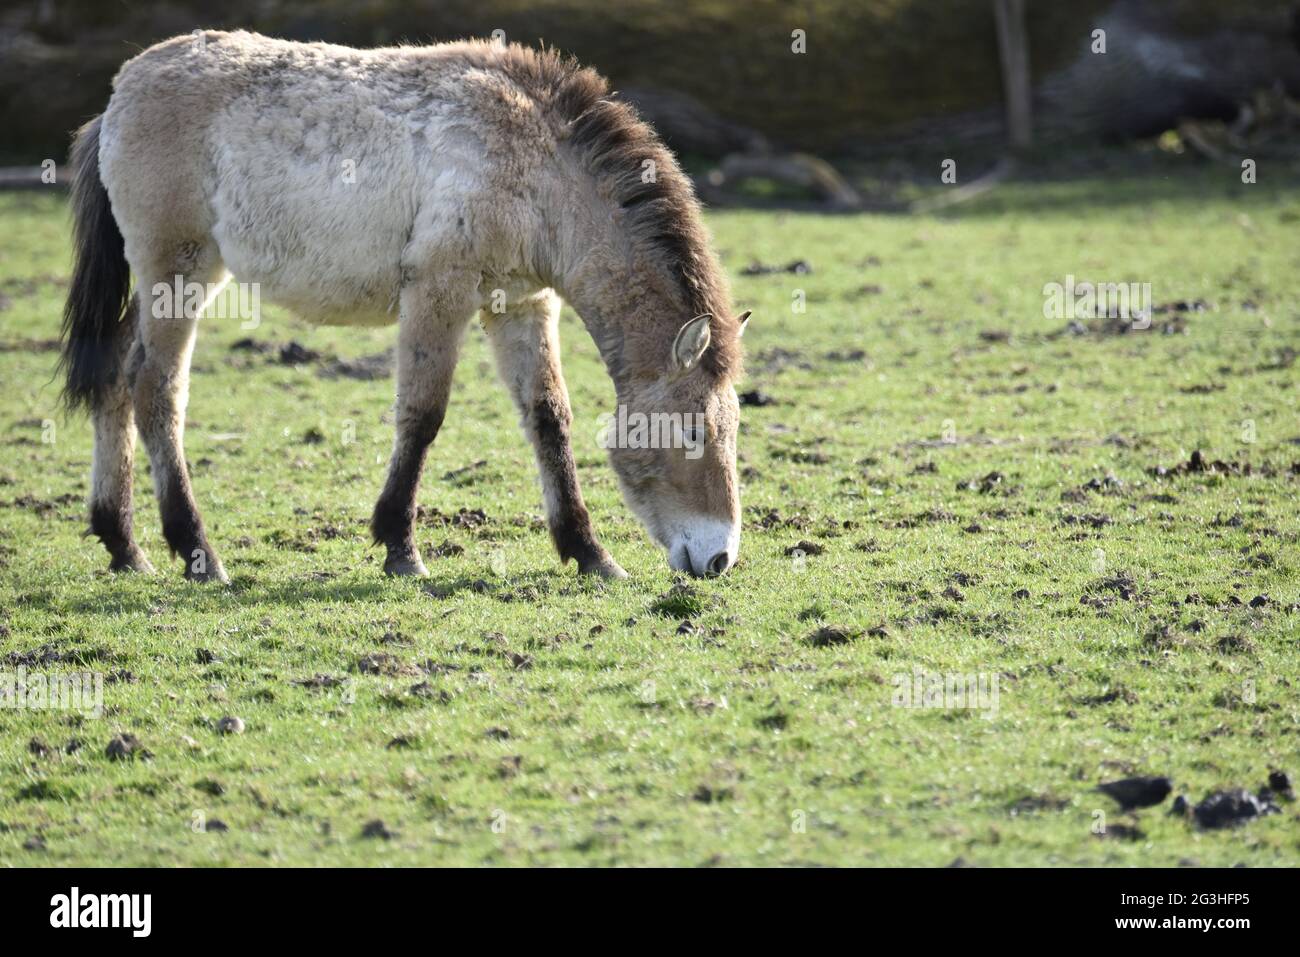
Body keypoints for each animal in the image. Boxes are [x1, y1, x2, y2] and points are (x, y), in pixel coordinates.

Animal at [58, 30, 750, 583]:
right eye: (693, 432)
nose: (718, 559)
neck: (536, 163)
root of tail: (118, 97)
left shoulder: (520, 303)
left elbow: (548, 416)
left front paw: (589, 553)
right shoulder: (440, 291)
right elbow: (423, 415)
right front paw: (401, 549)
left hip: (158, 283)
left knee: (114, 380)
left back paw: (125, 547)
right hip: (178, 273)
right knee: (156, 390)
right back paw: (197, 553)